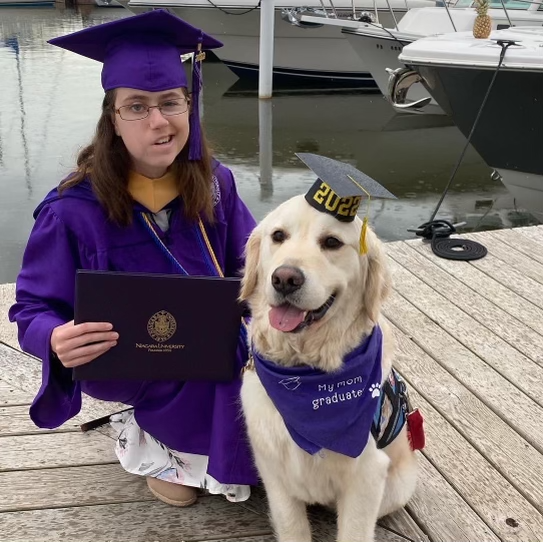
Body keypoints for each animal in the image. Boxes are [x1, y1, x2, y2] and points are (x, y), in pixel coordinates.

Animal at [239, 197, 420, 542]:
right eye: (278, 235)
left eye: (332, 242)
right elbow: (292, 527)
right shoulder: (273, 469)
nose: (285, 278)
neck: (303, 371)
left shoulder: (367, 475)